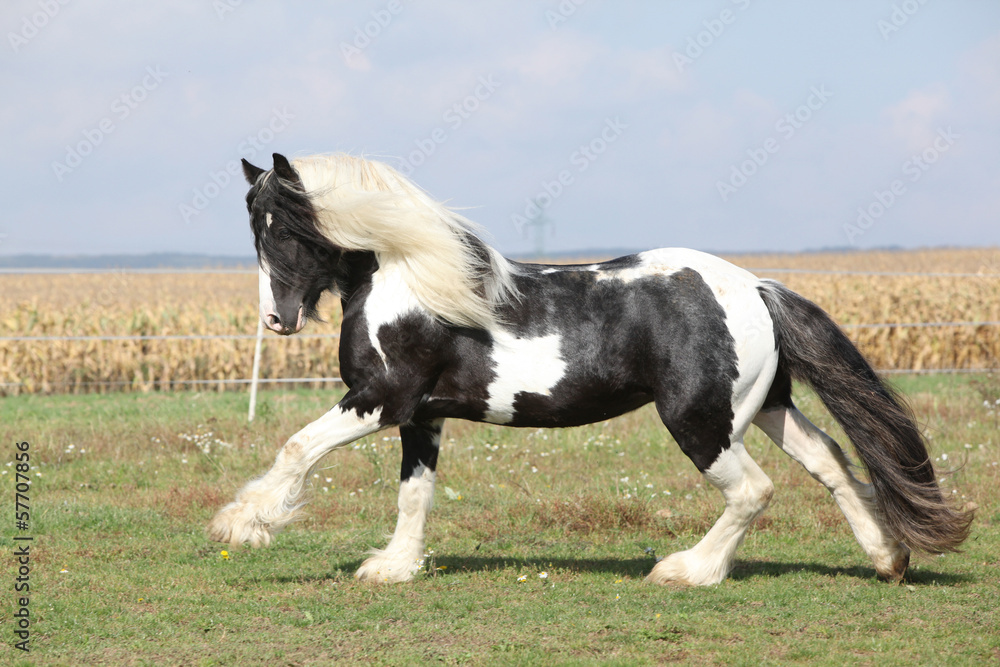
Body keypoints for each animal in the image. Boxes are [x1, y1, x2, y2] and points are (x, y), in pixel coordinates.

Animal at [207, 152, 972, 586]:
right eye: (255, 224)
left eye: (286, 226)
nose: (276, 319)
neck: (408, 277)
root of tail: (755, 287)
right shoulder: (422, 416)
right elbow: (414, 495)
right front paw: (392, 569)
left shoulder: (380, 399)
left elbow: (296, 447)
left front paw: (241, 525)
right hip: (765, 406)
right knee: (833, 463)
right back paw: (888, 558)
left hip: (700, 420)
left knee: (754, 490)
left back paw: (686, 572)